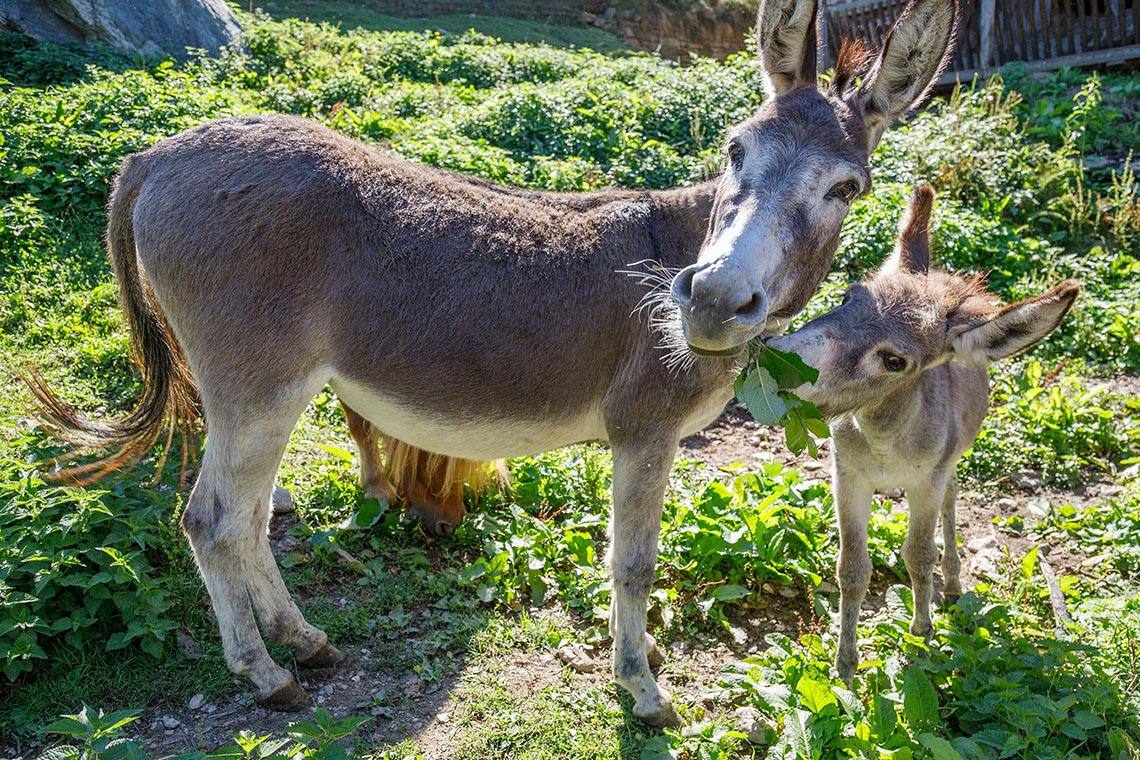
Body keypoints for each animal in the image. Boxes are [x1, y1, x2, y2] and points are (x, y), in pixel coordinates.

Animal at [770, 186, 1080, 688]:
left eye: (895, 361)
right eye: (848, 296)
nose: (777, 361)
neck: (882, 438)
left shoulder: (925, 482)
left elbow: (918, 556)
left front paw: (921, 639)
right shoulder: (848, 476)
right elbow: (852, 568)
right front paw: (845, 668)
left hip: (948, 465)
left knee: (950, 511)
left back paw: (950, 586)